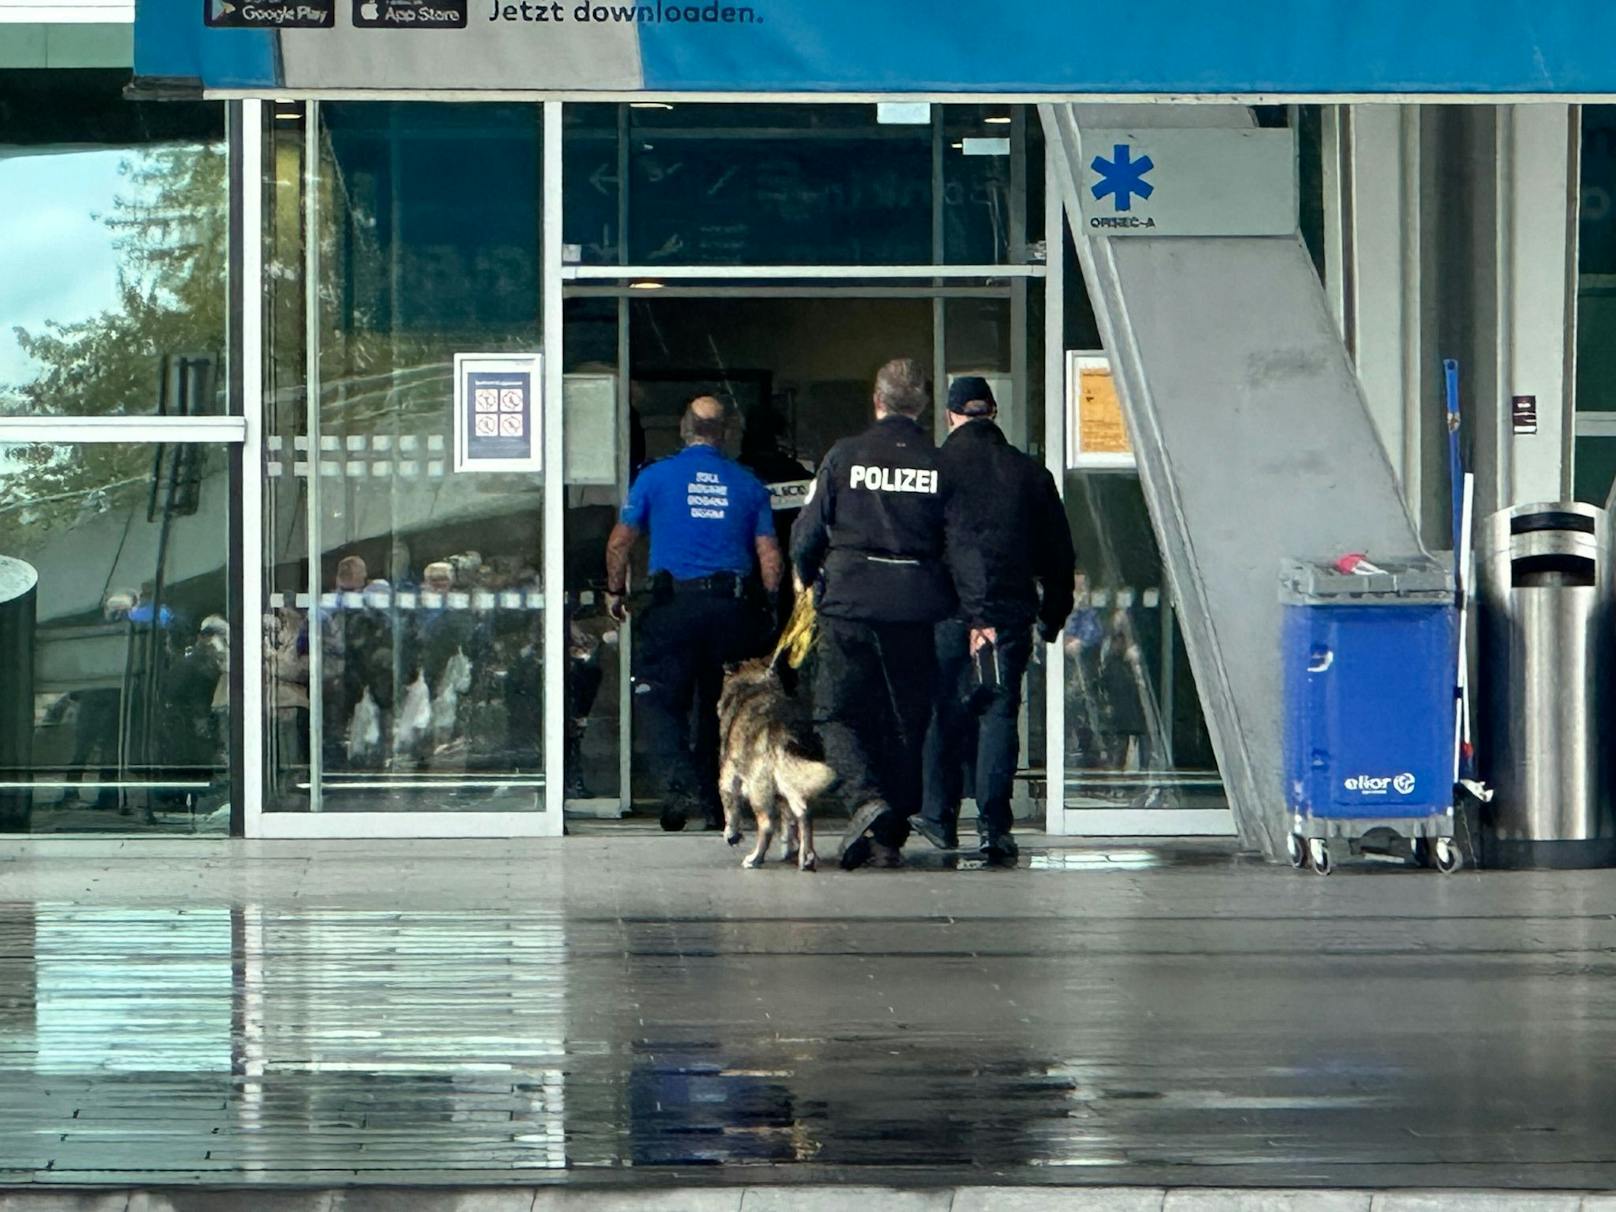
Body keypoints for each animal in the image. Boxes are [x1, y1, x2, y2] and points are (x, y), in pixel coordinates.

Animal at [717, 656, 833, 872]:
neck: (755, 686)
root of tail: (782, 727)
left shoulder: (728, 777)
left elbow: (731, 808)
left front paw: (731, 834)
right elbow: (788, 823)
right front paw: (790, 848)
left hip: (759, 789)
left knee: (767, 825)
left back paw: (755, 858)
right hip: (794, 778)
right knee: (804, 813)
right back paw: (806, 856)